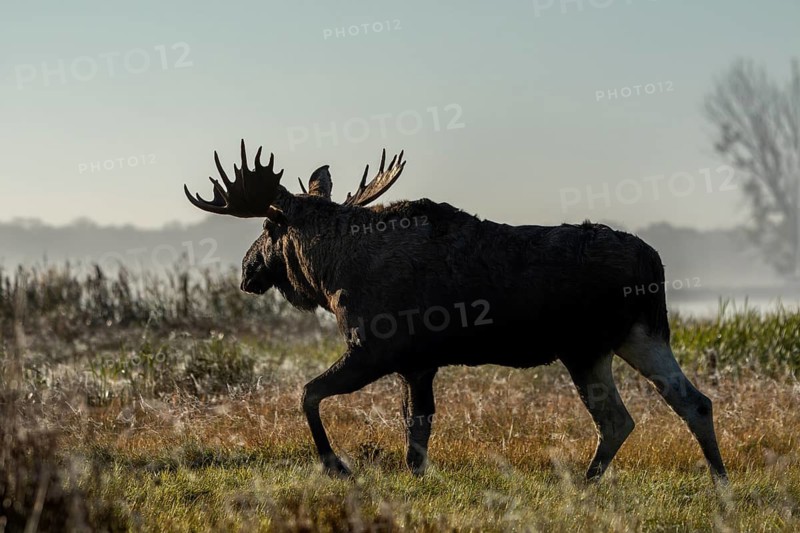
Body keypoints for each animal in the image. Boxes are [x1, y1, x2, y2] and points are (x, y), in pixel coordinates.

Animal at [183, 140, 728, 483]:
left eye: (268, 229)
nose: (247, 270)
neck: (330, 273)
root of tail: (653, 263)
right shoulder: (417, 364)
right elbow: (415, 433)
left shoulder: (374, 349)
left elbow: (308, 394)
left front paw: (335, 465)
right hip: (637, 336)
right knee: (688, 402)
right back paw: (717, 482)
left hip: (586, 348)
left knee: (620, 417)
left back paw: (588, 481)